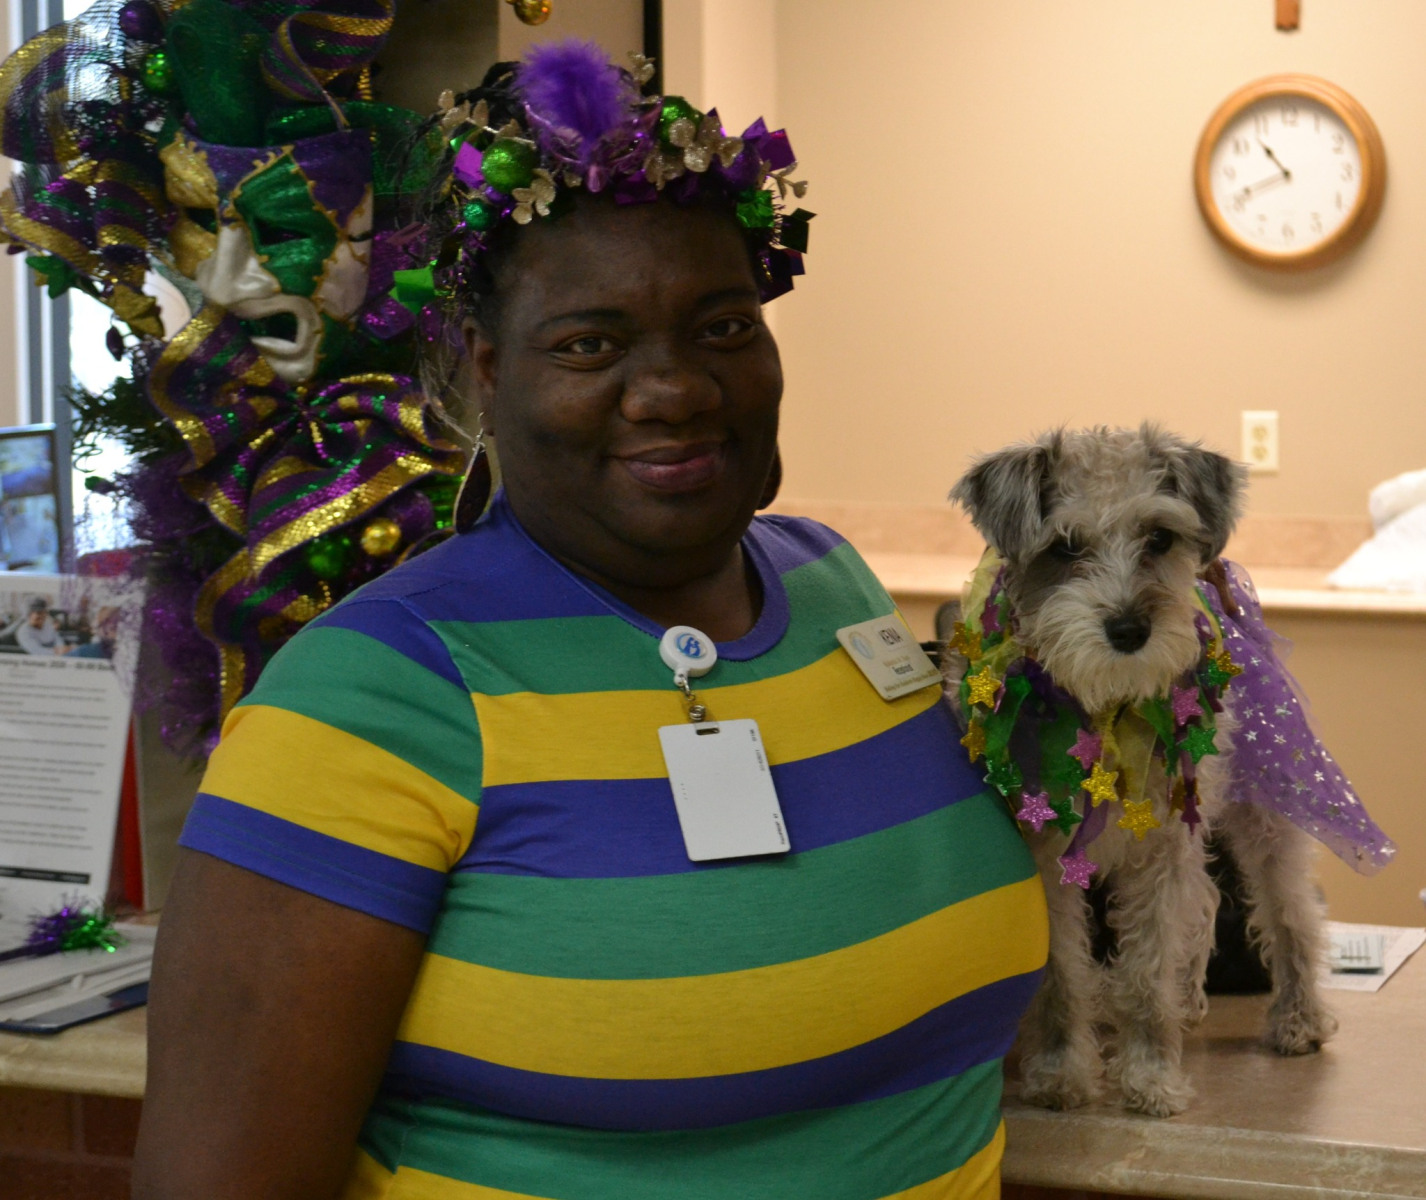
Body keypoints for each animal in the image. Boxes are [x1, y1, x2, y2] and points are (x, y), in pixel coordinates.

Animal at [948, 423, 1337, 1118]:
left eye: (1159, 537)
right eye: (1064, 546)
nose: (1130, 629)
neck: (1102, 707)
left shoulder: (1160, 852)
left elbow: (1147, 972)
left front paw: (1152, 1078)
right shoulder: (1044, 860)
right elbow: (1060, 976)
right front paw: (1060, 1075)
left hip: (1265, 819)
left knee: (1291, 914)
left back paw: (1299, 1019)